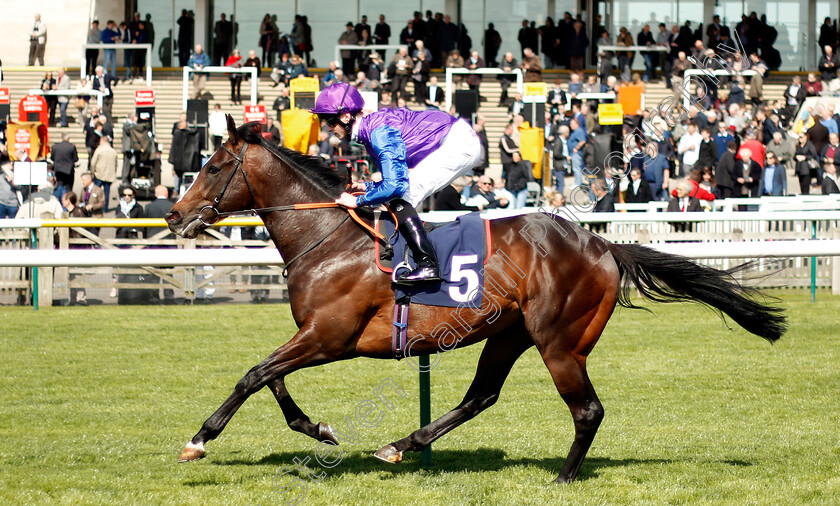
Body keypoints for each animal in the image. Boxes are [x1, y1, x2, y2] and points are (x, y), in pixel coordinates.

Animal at [166, 116, 788, 484]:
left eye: (214, 167)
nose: (173, 215)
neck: (330, 239)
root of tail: (603, 244)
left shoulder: (330, 337)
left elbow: (253, 375)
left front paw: (199, 440)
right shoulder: (314, 335)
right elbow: (269, 378)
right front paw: (319, 429)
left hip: (560, 342)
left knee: (586, 410)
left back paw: (562, 478)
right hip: (509, 334)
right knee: (481, 396)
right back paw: (402, 444)